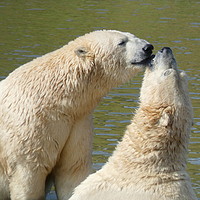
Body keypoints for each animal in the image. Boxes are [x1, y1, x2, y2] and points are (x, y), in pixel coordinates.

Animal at [0, 30, 154, 200]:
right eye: (121, 42)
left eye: (132, 36)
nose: (148, 47)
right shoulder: (30, 127)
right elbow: (29, 176)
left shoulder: (78, 122)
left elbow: (72, 170)